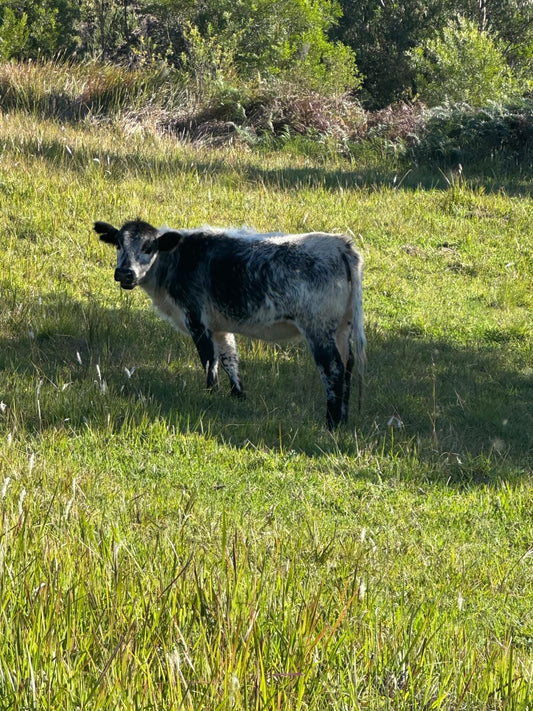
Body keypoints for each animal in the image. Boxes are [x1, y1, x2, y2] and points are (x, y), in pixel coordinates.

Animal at [94, 219, 366, 429]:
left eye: (149, 247)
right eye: (118, 243)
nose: (125, 273)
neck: (175, 261)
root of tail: (340, 244)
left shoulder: (196, 318)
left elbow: (209, 360)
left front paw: (210, 394)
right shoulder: (219, 325)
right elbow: (229, 358)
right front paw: (238, 396)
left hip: (318, 329)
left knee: (333, 369)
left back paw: (331, 423)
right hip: (342, 328)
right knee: (348, 366)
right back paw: (343, 419)